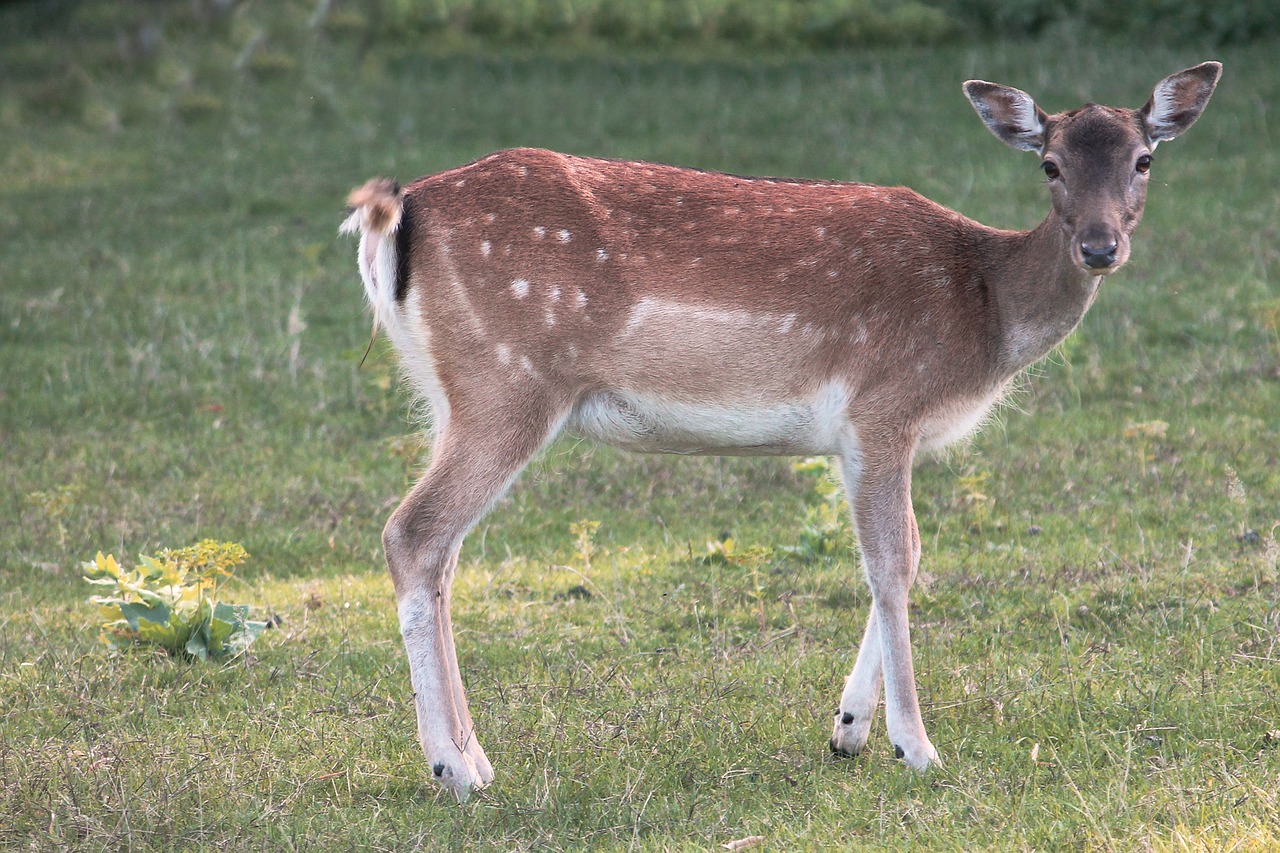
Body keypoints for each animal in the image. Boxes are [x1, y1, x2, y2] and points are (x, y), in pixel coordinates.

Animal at [340, 61, 1218, 799]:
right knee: (413, 532)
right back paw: (455, 768)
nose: (1100, 246)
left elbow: (904, 555)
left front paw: (849, 729)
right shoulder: (883, 407)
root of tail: (395, 215)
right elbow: (890, 560)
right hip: (508, 383)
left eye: (1144, 160)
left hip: (452, 395)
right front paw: (916, 745)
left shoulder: (862, 437)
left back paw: (472, 753)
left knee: (443, 551)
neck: (988, 309)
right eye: (1050, 164)